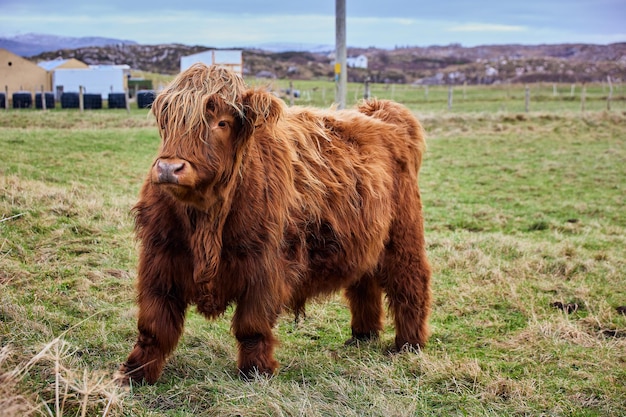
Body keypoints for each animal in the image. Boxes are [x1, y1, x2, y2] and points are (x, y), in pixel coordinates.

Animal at [116, 63, 428, 386]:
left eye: (222, 123)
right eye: (167, 122)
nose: (169, 168)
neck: (206, 219)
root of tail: (381, 113)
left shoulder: (263, 266)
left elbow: (251, 325)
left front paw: (255, 371)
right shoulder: (160, 259)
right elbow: (154, 326)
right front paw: (135, 373)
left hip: (403, 236)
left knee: (411, 282)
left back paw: (408, 344)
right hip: (364, 238)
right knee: (364, 282)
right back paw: (362, 336)